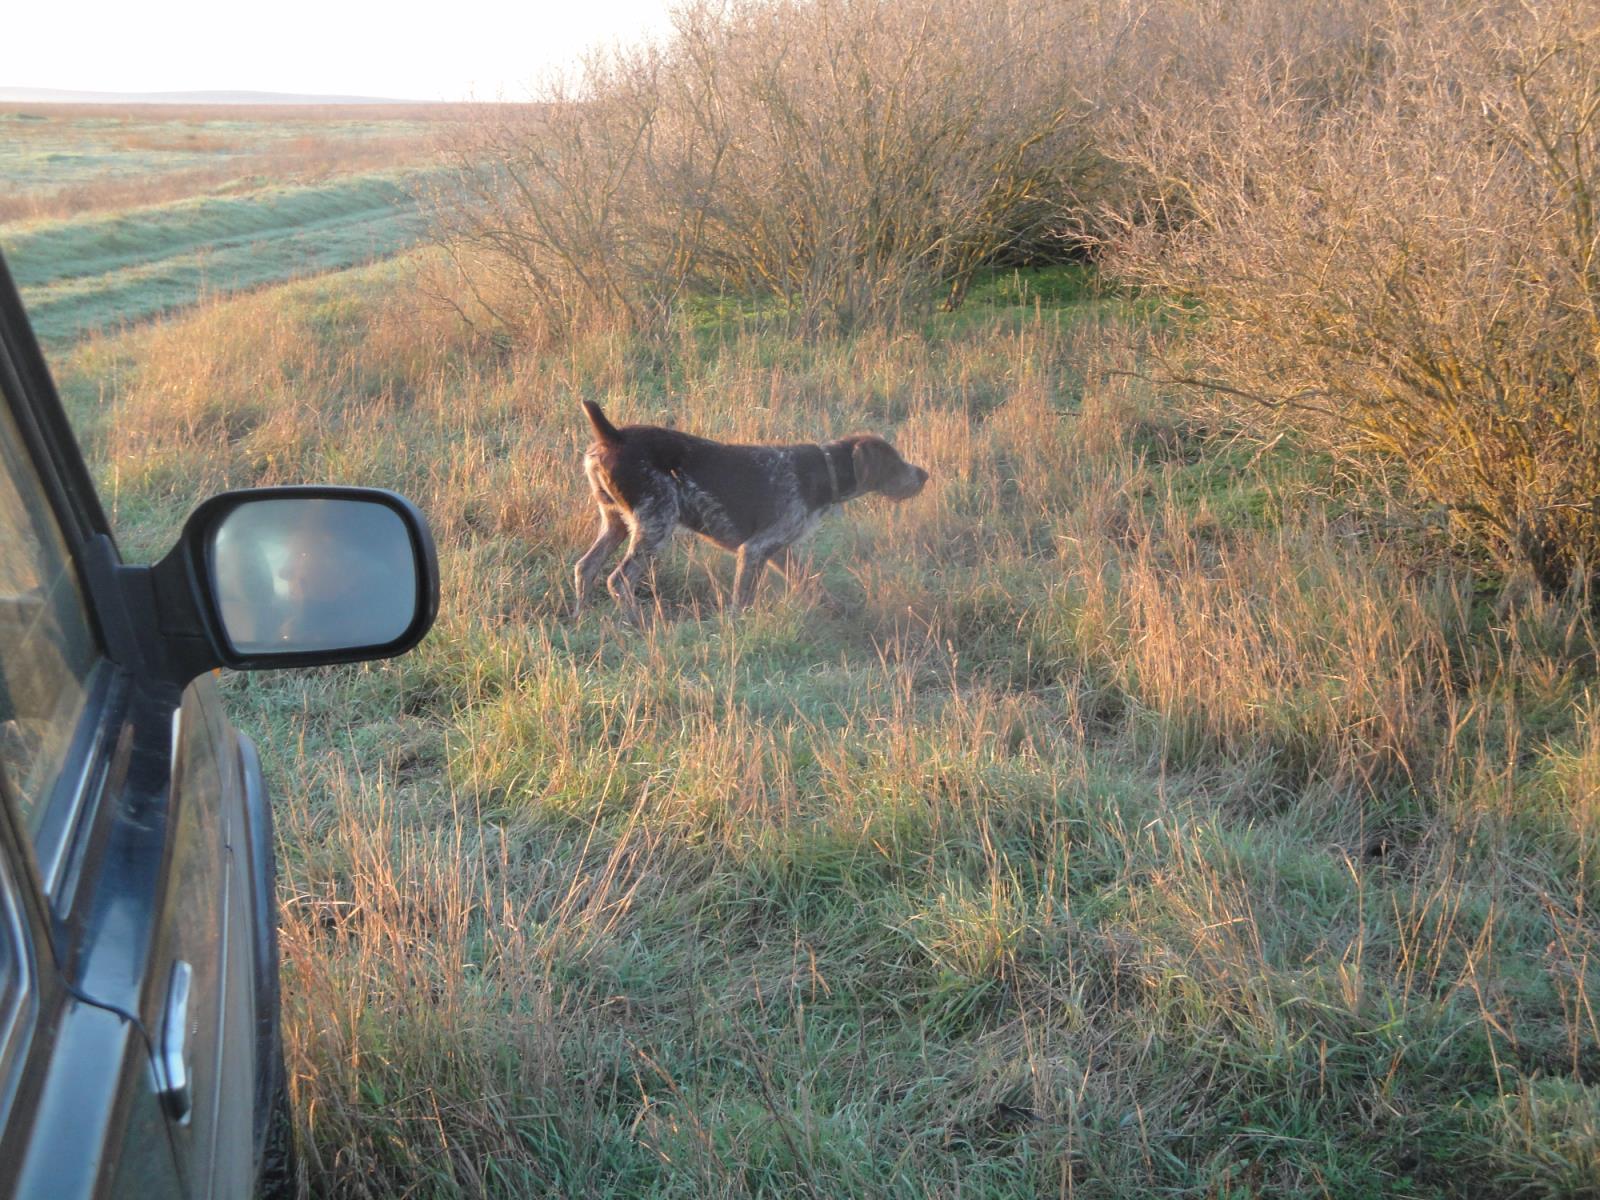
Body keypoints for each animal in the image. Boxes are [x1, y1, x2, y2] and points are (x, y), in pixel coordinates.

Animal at [574, 400, 929, 615]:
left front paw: (837, 610)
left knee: (585, 567)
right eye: (895, 461)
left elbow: (810, 582)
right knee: (619, 580)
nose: (924, 474)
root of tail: (613, 436)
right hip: (656, 525)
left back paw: (582, 618)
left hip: (617, 524)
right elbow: (742, 601)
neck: (822, 471)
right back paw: (638, 624)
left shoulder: (779, 550)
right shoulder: (755, 549)